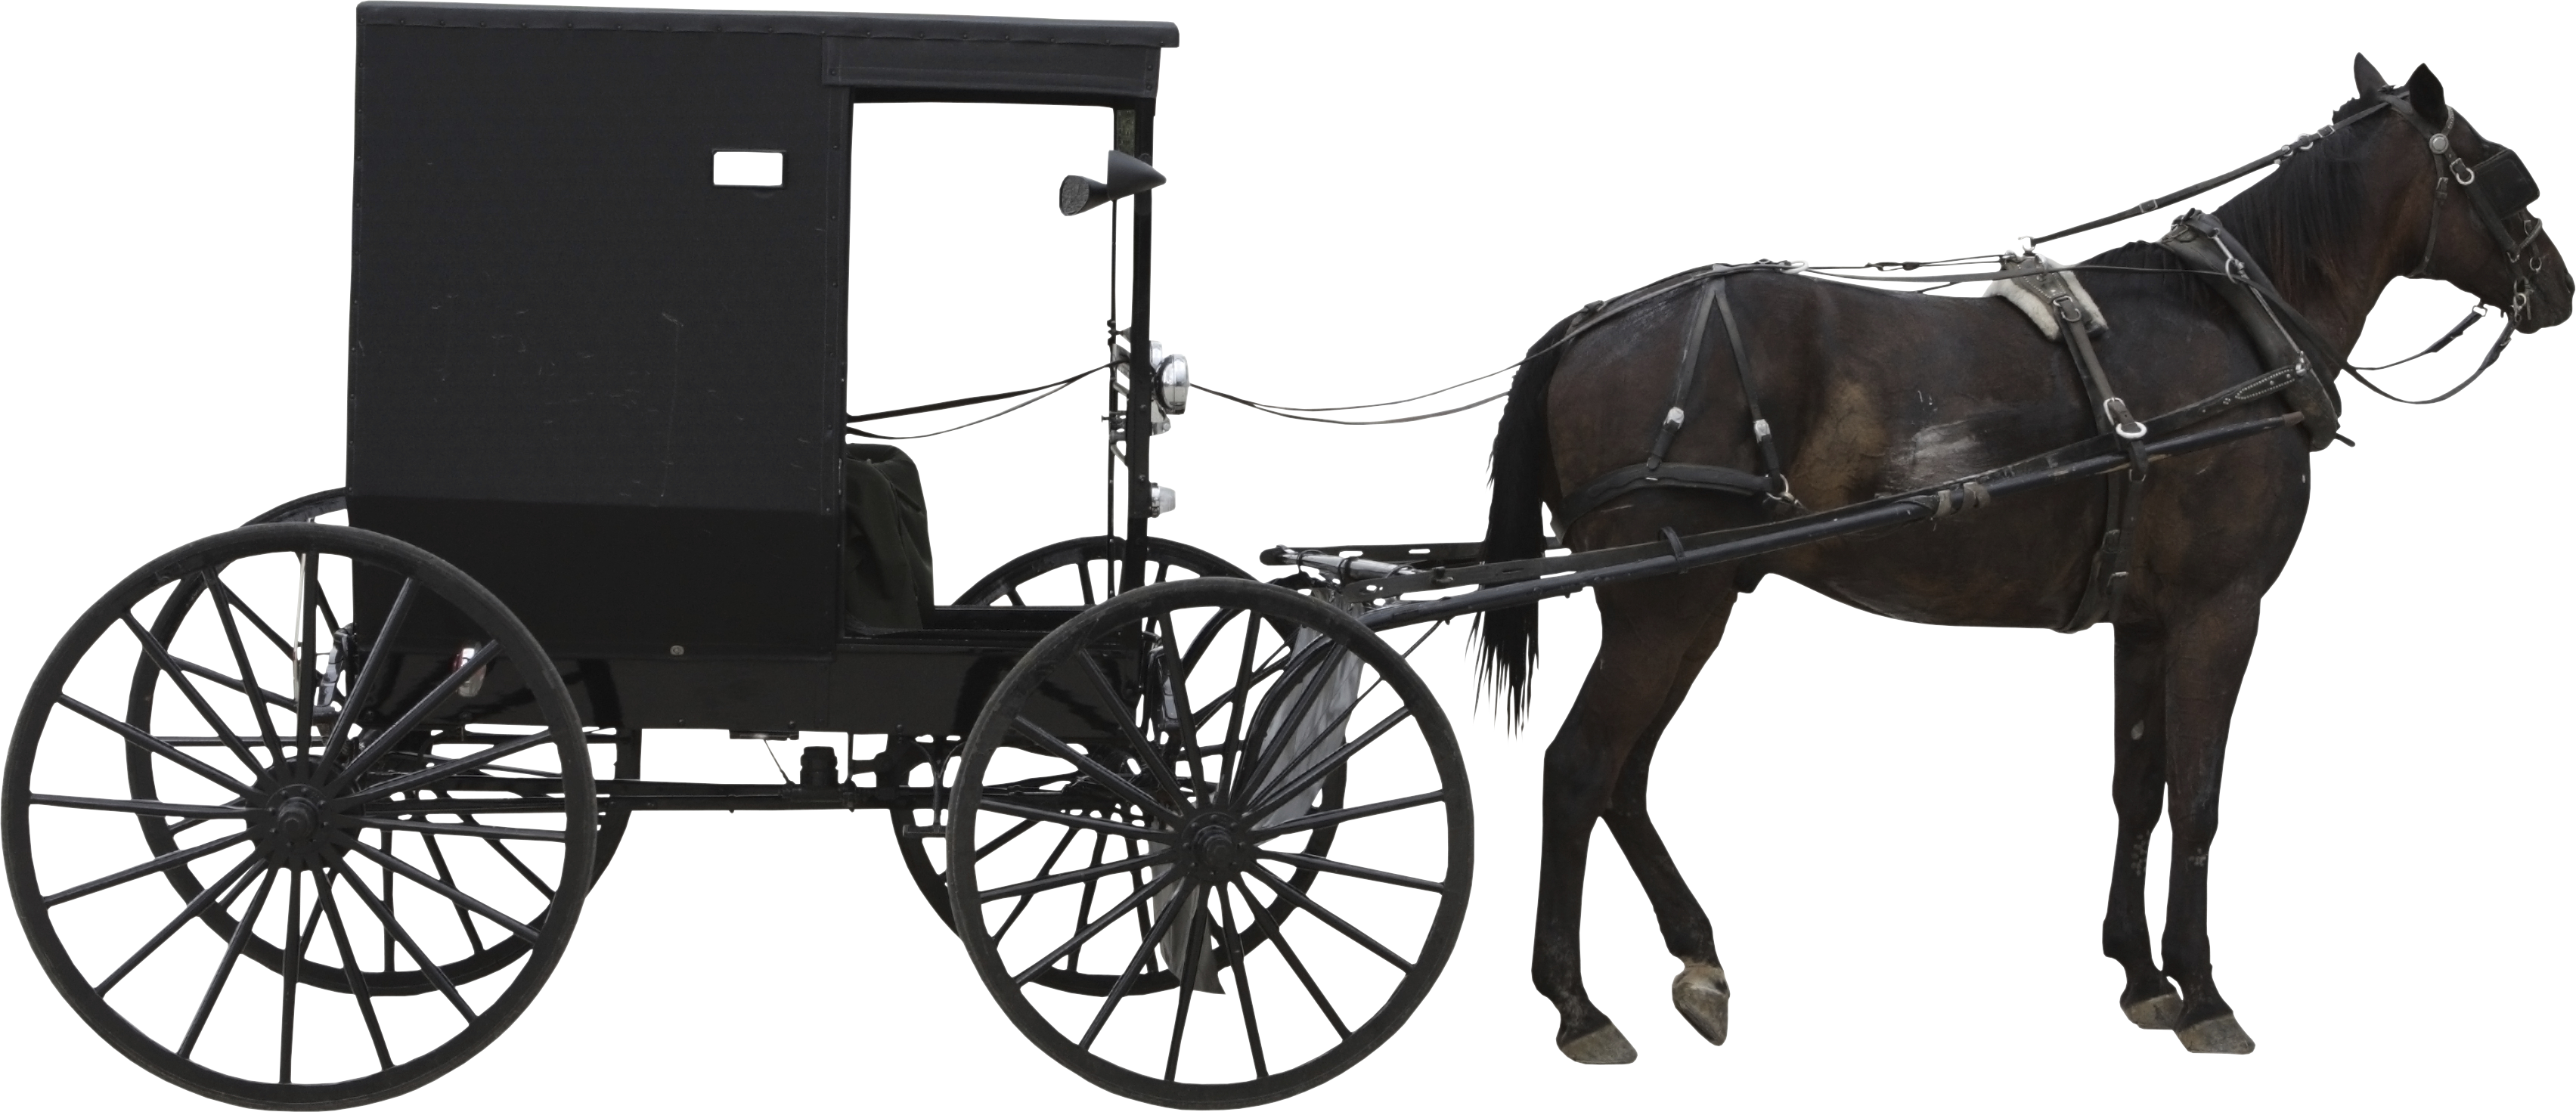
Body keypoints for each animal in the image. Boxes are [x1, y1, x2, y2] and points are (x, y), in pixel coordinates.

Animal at [1473, 57, 2569, 1062]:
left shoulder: (2145, 616)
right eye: (2506, 174)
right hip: (1666, 603)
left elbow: (2138, 784)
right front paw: (2205, 990)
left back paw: (1696, 957)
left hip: (1692, 602)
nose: (2555, 289)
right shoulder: (2220, 608)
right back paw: (1576, 1002)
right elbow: (2199, 796)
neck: (2237, 329)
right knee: (1579, 768)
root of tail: (1595, 323)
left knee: (1624, 775)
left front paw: (2139, 973)